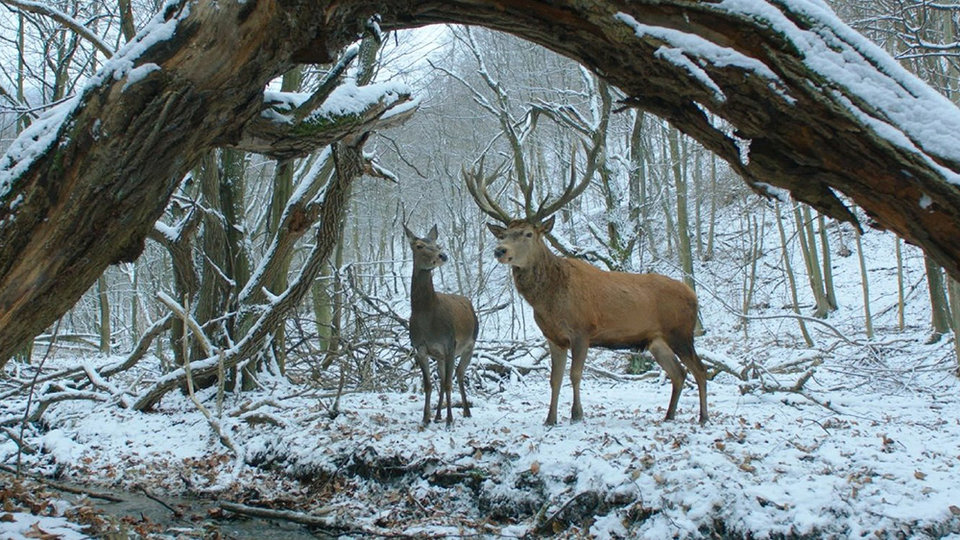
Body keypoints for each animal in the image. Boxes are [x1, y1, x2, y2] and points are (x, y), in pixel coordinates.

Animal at [404, 224, 480, 426]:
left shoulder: (450, 344)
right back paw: (438, 415)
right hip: (439, 355)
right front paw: (425, 418)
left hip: (470, 344)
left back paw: (466, 411)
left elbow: (447, 383)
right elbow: (428, 385)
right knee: (444, 376)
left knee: (459, 375)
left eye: (437, 244)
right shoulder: (420, 348)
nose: (443, 256)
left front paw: (450, 420)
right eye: (419, 245)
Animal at [468, 162, 708, 424]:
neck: (549, 302)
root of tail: (693, 295)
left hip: (681, 333)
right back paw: (669, 415)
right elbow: (554, 379)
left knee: (700, 370)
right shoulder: (553, 337)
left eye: (528, 234)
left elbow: (575, 374)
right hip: (657, 341)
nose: (500, 250)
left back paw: (703, 417)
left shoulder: (582, 330)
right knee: (679, 373)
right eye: (503, 235)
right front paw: (550, 419)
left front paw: (577, 414)